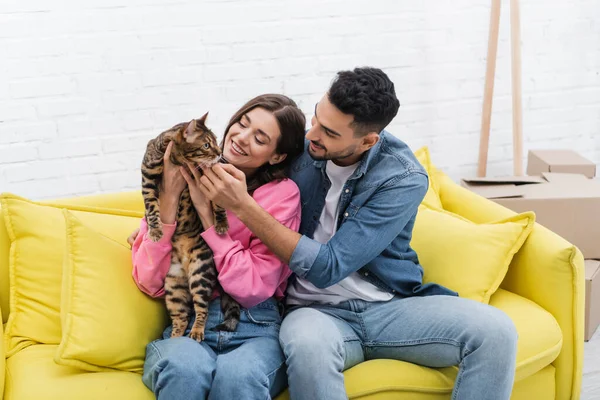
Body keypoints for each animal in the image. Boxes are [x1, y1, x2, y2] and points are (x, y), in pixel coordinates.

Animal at [141, 112, 241, 340]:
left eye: (215, 142)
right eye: (206, 145)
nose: (219, 153)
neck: (179, 160)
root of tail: (185, 267)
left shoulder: (209, 179)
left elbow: (219, 205)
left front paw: (221, 225)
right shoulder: (148, 177)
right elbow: (151, 207)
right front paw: (155, 229)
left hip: (200, 274)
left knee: (201, 309)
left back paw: (196, 332)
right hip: (173, 288)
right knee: (181, 317)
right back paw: (175, 338)